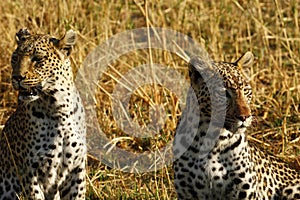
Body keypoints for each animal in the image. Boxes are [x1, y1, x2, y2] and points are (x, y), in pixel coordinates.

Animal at [0, 28, 86, 200]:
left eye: (37, 59)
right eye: (15, 58)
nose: (16, 77)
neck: (59, 108)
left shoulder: (76, 169)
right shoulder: (31, 173)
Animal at [172, 52, 300, 199]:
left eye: (246, 91)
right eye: (223, 93)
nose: (245, 116)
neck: (211, 140)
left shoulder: (245, 192)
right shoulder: (186, 192)